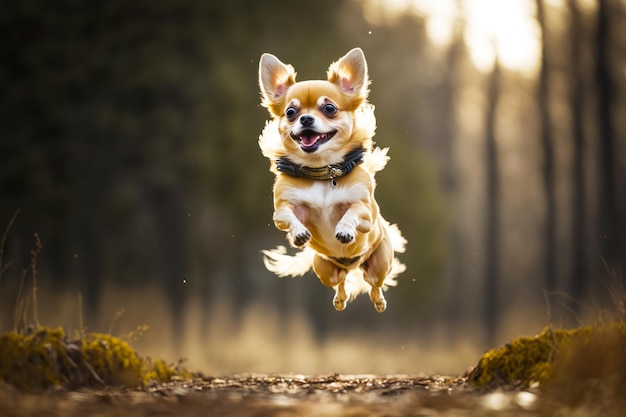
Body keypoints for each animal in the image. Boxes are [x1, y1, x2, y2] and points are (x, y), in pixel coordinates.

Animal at [255, 47, 404, 310]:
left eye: (329, 109)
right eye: (291, 113)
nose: (305, 119)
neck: (322, 173)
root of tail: (354, 266)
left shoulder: (365, 211)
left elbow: (351, 211)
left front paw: (344, 229)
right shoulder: (282, 210)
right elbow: (289, 216)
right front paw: (299, 233)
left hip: (379, 263)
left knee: (374, 283)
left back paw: (379, 301)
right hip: (325, 269)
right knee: (340, 282)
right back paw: (340, 300)